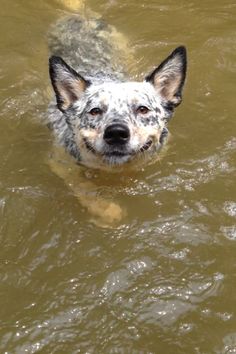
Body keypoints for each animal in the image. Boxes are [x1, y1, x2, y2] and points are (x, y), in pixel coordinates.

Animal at [47, 9, 187, 227]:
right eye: (95, 111)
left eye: (142, 109)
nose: (116, 133)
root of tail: (80, 15)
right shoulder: (59, 162)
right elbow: (82, 185)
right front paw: (107, 210)